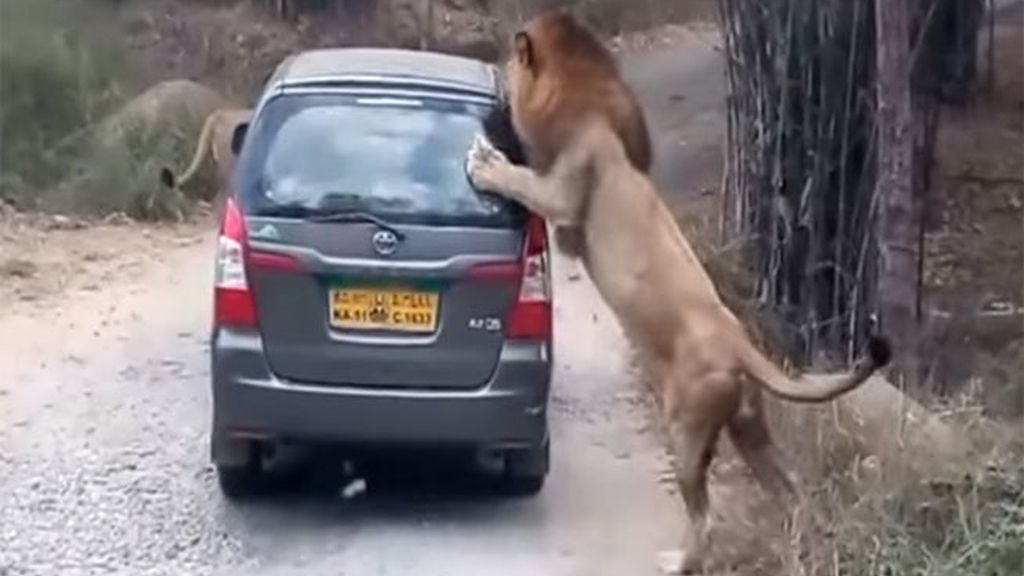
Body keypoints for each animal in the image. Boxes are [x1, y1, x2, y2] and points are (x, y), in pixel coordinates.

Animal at [468, 11, 892, 569]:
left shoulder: (563, 193)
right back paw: (801, 547)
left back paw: (681, 560)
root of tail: (740, 344)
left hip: (687, 427)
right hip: (749, 428)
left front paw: (486, 164)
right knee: (790, 488)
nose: (496, 100)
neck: (584, 96)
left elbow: (520, 181)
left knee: (704, 513)